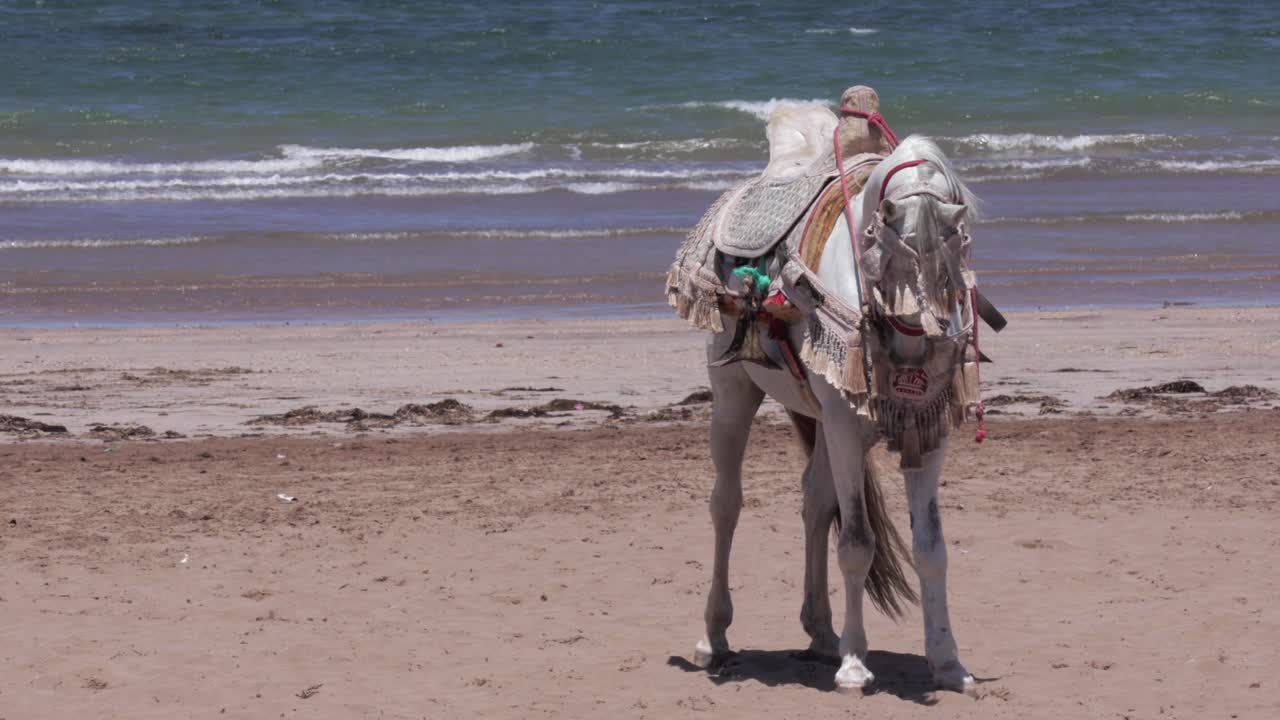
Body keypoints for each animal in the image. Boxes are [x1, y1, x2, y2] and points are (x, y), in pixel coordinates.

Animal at [677, 115, 983, 692]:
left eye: (956, 252)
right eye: (891, 246)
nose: (926, 337)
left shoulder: (926, 434)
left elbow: (931, 549)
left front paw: (948, 662)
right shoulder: (844, 428)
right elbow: (857, 542)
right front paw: (855, 665)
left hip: (816, 415)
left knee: (815, 503)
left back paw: (820, 632)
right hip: (733, 394)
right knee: (725, 504)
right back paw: (713, 638)